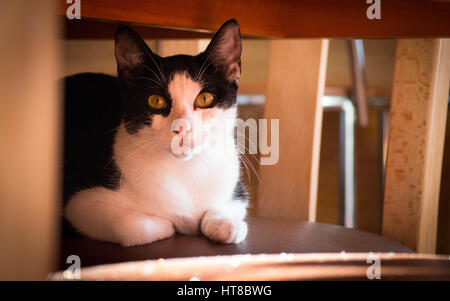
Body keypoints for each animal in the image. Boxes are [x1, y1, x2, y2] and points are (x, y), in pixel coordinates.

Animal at [62, 18, 250, 246]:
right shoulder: (78, 204)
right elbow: (129, 226)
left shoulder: (236, 190)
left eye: (205, 98)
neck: (185, 170)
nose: (182, 127)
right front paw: (167, 225)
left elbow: (230, 208)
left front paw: (226, 224)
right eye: (156, 100)